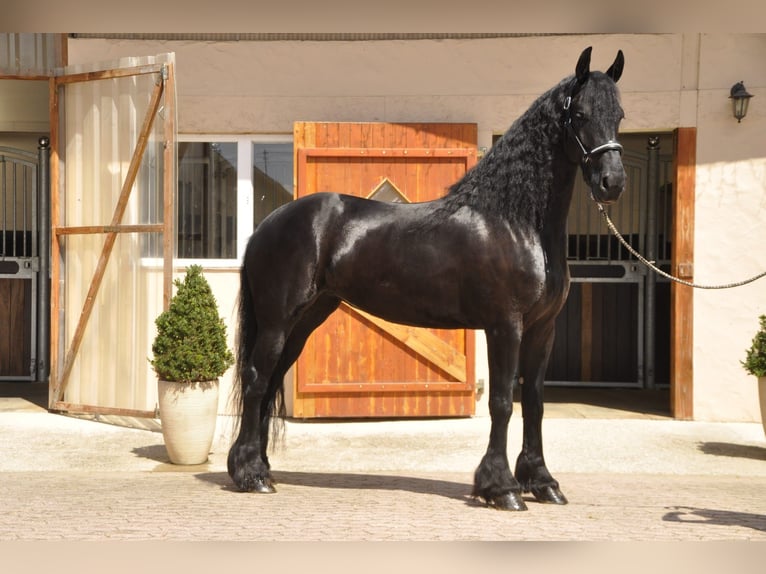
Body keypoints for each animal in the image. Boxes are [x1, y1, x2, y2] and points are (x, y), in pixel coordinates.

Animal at [227, 46, 626, 511]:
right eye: (579, 114)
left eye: (619, 114)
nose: (612, 183)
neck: (515, 221)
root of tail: (268, 223)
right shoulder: (504, 326)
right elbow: (503, 402)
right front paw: (502, 488)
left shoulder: (542, 330)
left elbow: (534, 402)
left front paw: (542, 482)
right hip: (278, 320)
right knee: (257, 380)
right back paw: (250, 475)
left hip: (306, 319)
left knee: (271, 380)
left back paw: (260, 468)